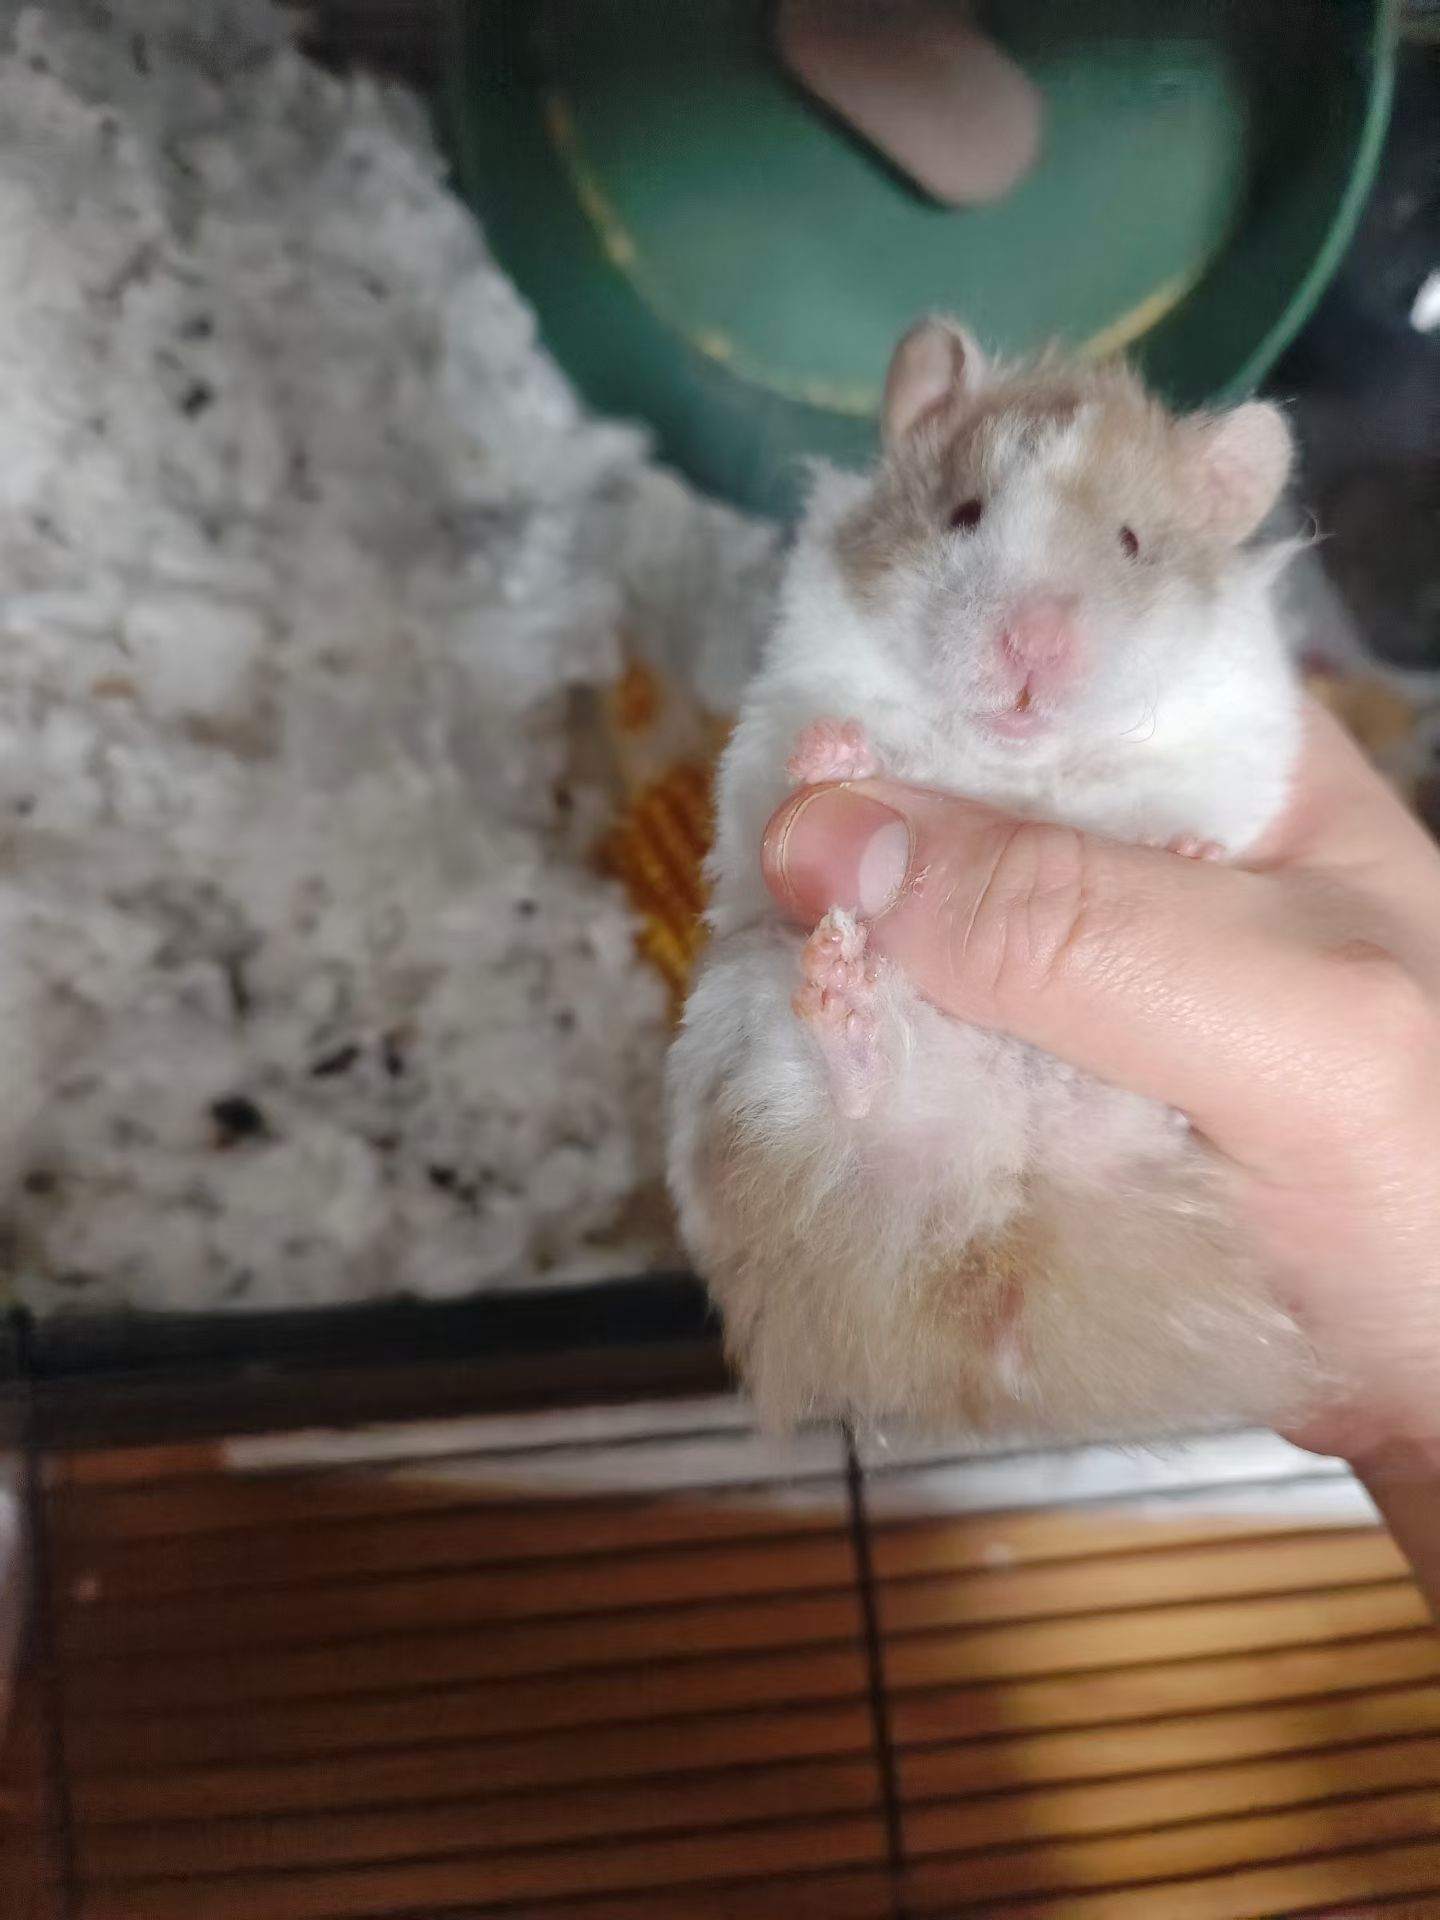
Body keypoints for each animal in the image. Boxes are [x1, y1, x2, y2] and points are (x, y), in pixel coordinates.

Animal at [666, 317, 1314, 1441]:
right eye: (963, 515)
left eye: (1133, 543)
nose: (1033, 646)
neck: (1017, 765)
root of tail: (986, 1263)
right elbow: (801, 780)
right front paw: (834, 755)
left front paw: (1185, 851)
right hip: (747, 1032)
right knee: (849, 1105)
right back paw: (843, 998)